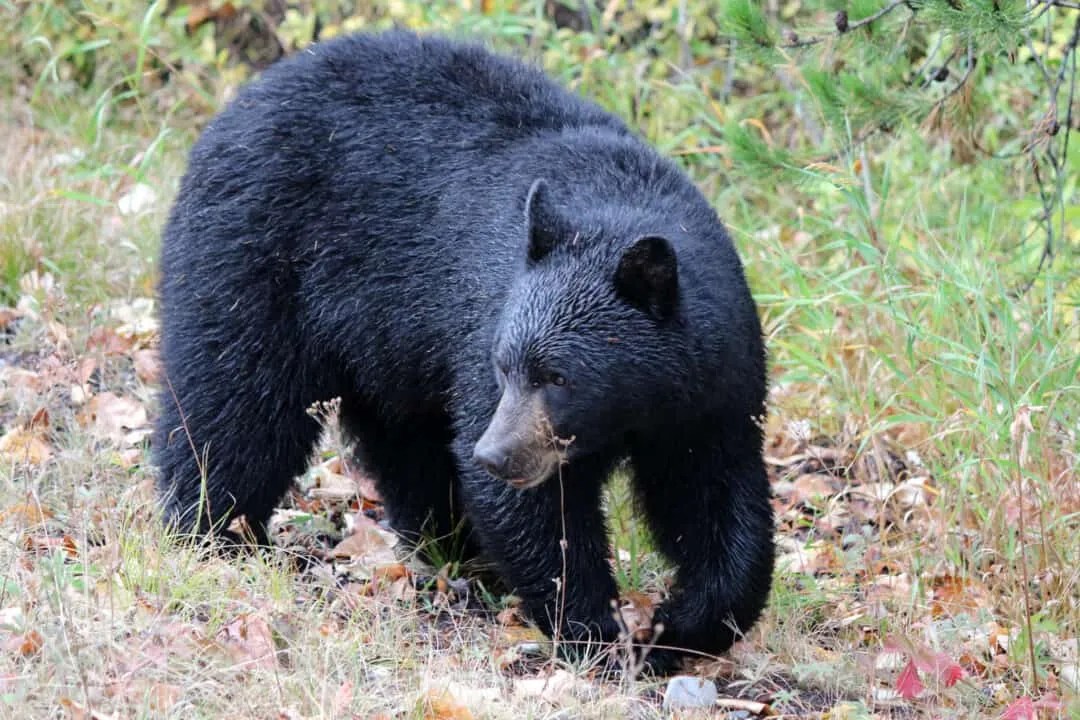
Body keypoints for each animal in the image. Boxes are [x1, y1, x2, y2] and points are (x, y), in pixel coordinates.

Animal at [155, 30, 774, 670]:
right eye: (507, 368)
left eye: (559, 377)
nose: (495, 455)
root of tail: (242, 99)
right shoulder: (483, 323)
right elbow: (538, 513)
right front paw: (594, 630)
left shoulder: (713, 388)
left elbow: (714, 493)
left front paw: (684, 626)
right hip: (254, 261)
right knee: (236, 404)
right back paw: (214, 531)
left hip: (387, 346)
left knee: (407, 442)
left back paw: (453, 549)